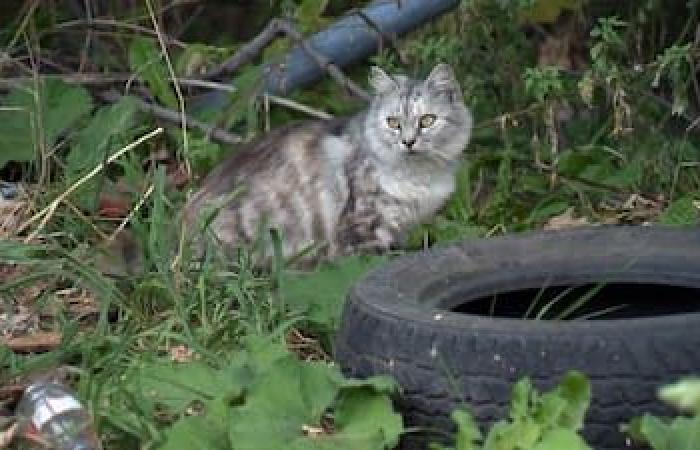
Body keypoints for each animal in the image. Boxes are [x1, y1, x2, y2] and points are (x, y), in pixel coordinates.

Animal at [183, 65, 474, 266]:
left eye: (427, 120)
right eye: (393, 123)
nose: (408, 142)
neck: (418, 178)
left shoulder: (401, 228)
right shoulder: (364, 229)